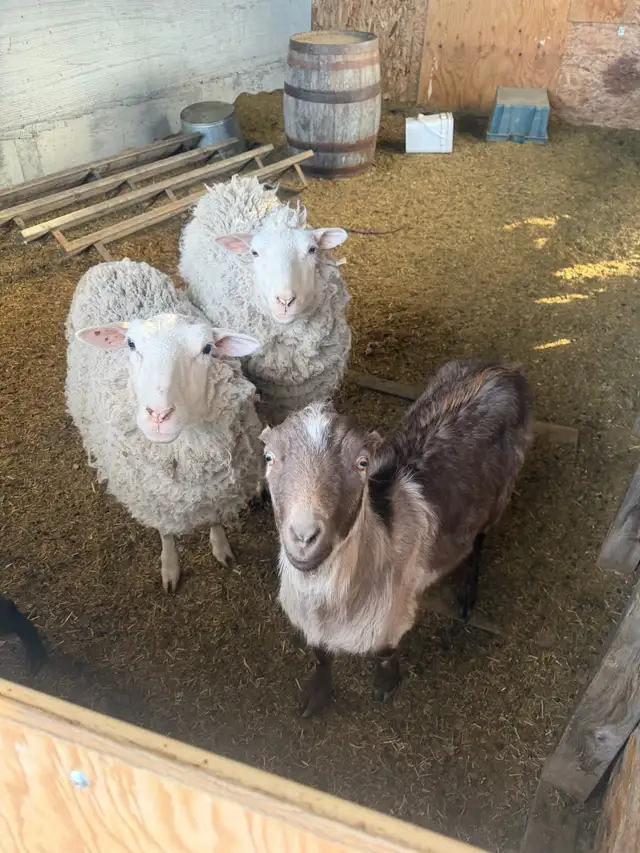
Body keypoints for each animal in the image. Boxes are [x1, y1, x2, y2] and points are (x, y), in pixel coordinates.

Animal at [65, 259, 264, 593]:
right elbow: (166, 534)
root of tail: (112, 263)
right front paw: (169, 568)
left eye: (207, 348)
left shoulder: (215, 489)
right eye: (131, 344)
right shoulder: (155, 500)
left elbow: (214, 520)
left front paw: (220, 547)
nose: (159, 414)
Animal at [260, 360, 533, 717]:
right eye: (269, 457)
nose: (304, 536)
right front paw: (317, 693)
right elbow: (320, 654)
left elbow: (385, 652)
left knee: (479, 539)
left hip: (499, 494)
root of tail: (501, 370)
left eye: (362, 462)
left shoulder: (393, 615)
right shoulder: (311, 623)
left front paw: (387, 683)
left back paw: (467, 591)